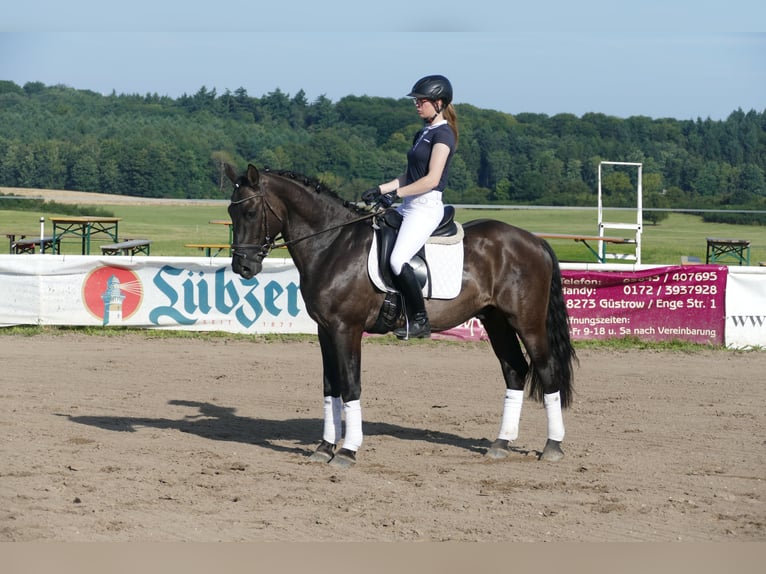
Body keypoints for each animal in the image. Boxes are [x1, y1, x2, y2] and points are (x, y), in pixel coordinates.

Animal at [226, 163, 576, 469]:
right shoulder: (325, 330)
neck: (332, 244)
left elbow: (351, 385)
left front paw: (347, 451)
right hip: (496, 320)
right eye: (230, 211)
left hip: (527, 322)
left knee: (546, 370)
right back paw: (501, 443)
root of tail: (534, 240)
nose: (243, 266)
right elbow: (330, 387)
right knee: (514, 370)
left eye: (251, 211)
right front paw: (324, 447)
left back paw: (552, 446)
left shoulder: (346, 329)